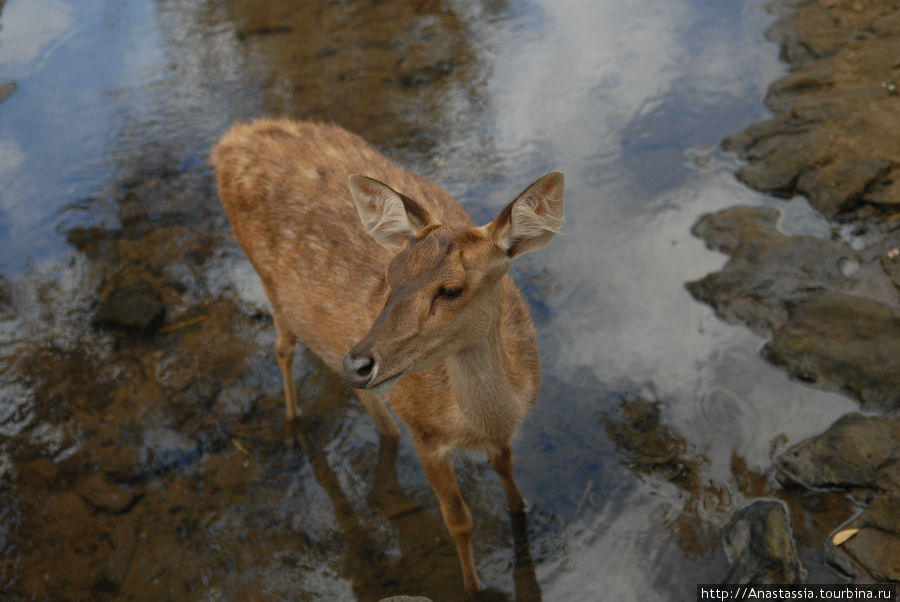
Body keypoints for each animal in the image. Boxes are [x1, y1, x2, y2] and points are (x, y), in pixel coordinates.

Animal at [211, 116, 564, 592]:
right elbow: (459, 522)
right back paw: (293, 426)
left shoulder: (500, 437)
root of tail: (231, 139)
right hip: (266, 280)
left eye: (452, 289)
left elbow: (512, 487)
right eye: (390, 273)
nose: (359, 361)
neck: (487, 419)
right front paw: (472, 587)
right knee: (283, 348)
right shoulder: (426, 433)